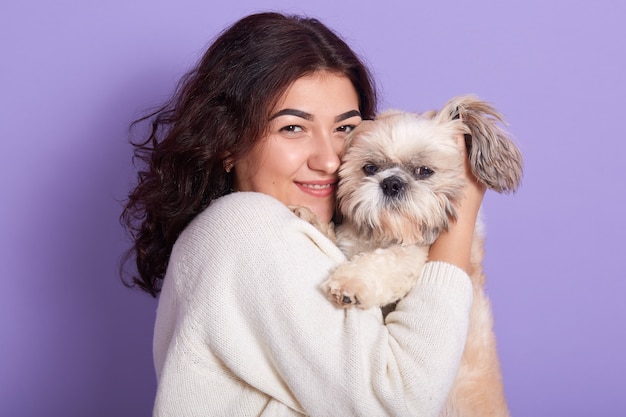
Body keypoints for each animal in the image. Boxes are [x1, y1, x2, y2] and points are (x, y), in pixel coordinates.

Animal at [298, 95, 520, 416]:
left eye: (424, 171)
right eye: (370, 168)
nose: (391, 182)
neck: (386, 234)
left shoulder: (417, 255)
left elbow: (388, 261)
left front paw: (351, 282)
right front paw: (313, 221)